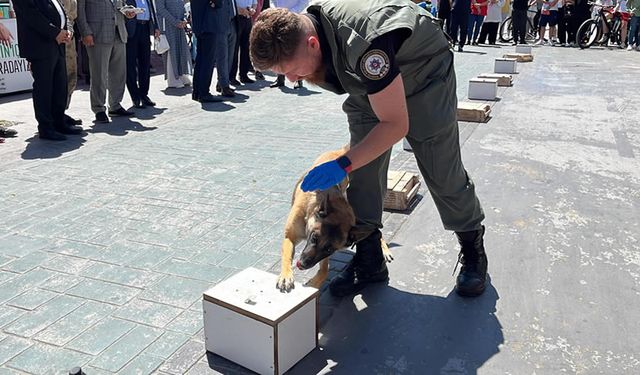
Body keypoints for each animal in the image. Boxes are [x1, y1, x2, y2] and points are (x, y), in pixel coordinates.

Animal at [278, 148, 392, 294]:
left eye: (329, 249)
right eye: (314, 238)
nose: (302, 265)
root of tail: (339, 152)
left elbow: (324, 270)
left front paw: (314, 283)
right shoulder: (289, 237)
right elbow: (286, 256)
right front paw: (286, 277)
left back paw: (385, 249)